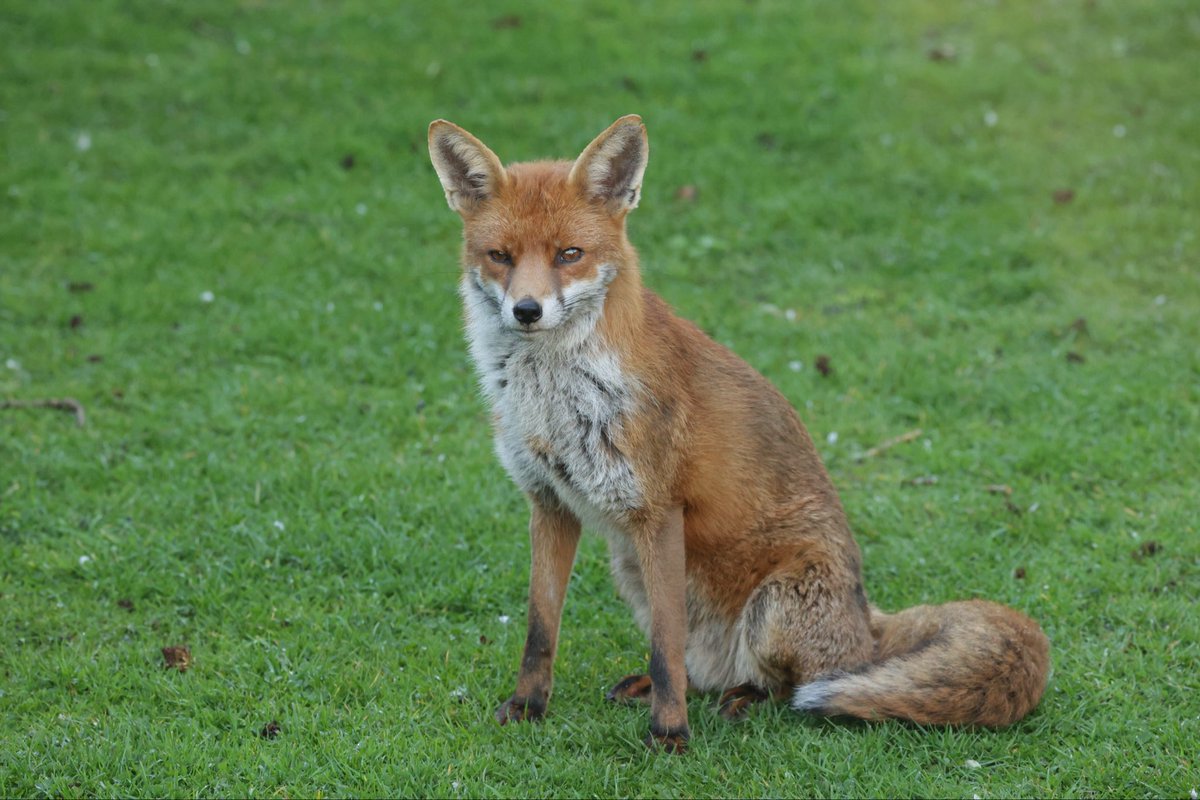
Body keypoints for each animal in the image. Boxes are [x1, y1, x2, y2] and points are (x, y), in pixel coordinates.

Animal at [427, 114, 1050, 754]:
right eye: (500, 256)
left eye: (569, 254)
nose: (526, 310)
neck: (554, 396)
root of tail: (867, 626)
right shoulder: (549, 501)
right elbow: (541, 630)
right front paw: (528, 707)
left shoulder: (658, 513)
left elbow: (665, 649)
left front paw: (670, 737)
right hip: (630, 569)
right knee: (697, 667)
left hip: (769, 607)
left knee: (793, 683)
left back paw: (748, 698)